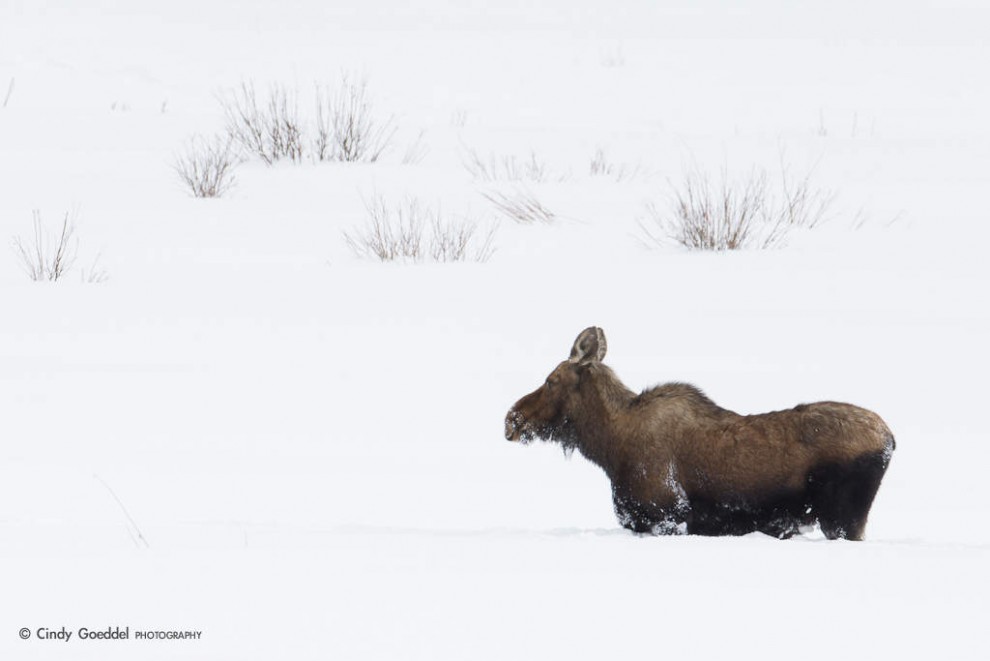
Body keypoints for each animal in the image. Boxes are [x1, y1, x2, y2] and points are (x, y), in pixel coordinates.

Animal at [508, 328, 896, 540]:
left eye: (551, 380)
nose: (511, 419)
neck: (609, 448)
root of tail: (891, 440)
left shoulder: (666, 515)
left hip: (843, 517)